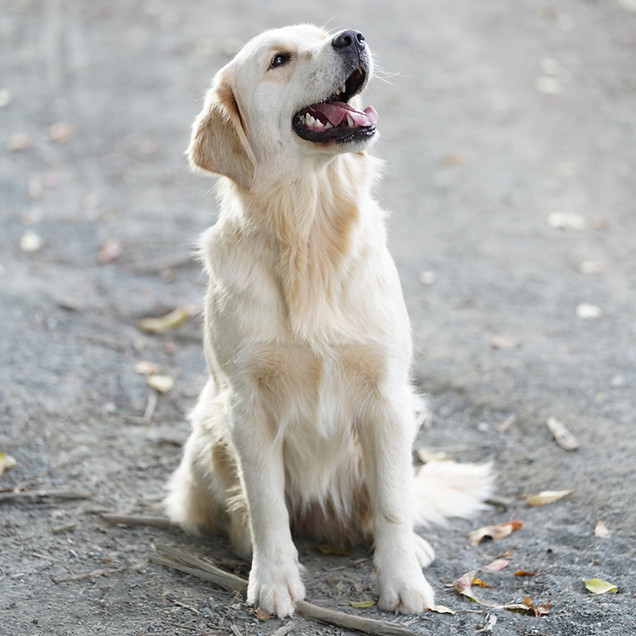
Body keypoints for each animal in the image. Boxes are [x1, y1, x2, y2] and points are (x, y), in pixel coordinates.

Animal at [166, 23, 494, 616]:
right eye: (278, 59)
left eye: (321, 34)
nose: (352, 36)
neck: (308, 228)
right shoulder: (246, 406)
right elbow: (267, 503)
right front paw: (274, 581)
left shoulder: (387, 396)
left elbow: (392, 505)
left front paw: (402, 583)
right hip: (207, 429)